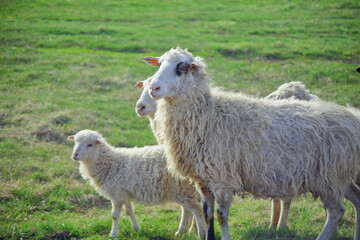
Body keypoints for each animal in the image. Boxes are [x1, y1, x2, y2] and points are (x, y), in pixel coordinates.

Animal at [67, 130, 205, 239]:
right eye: (75, 142)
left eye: (90, 144)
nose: (74, 155)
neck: (109, 162)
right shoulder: (125, 194)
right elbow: (129, 211)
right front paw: (136, 228)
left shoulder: (117, 194)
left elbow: (115, 216)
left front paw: (113, 235)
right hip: (181, 190)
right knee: (187, 210)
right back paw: (182, 231)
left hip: (182, 188)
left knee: (196, 209)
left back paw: (201, 234)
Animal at [141, 47, 360, 240]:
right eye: (159, 64)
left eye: (183, 67)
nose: (154, 89)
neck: (209, 116)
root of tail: (353, 118)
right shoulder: (203, 180)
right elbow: (208, 215)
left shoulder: (223, 179)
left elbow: (221, 217)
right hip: (340, 175)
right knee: (357, 199)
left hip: (330, 176)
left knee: (336, 212)